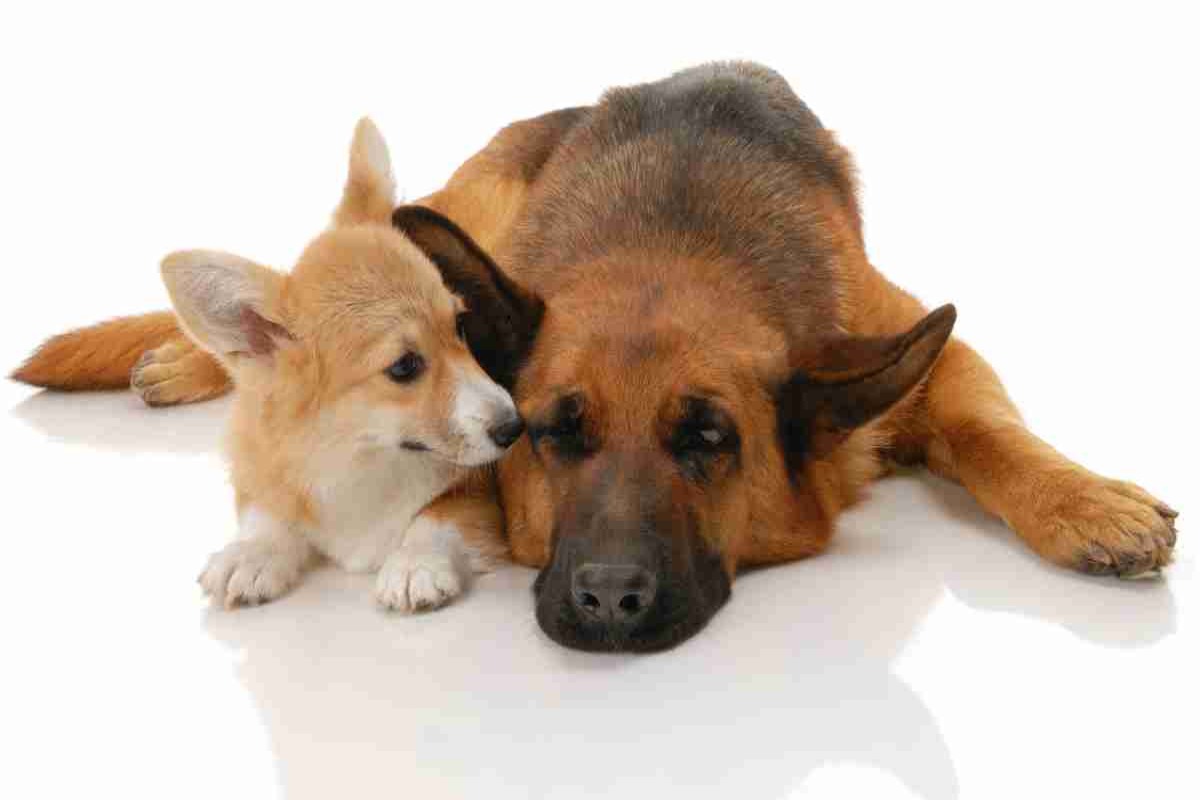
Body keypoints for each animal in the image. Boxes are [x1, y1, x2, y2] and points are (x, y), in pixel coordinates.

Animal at [14, 63, 1178, 650]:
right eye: (553, 435)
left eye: (709, 439)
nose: (610, 600)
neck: (676, 233)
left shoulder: (940, 351)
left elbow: (989, 429)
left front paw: (1084, 501)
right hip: (457, 213)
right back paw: (196, 351)